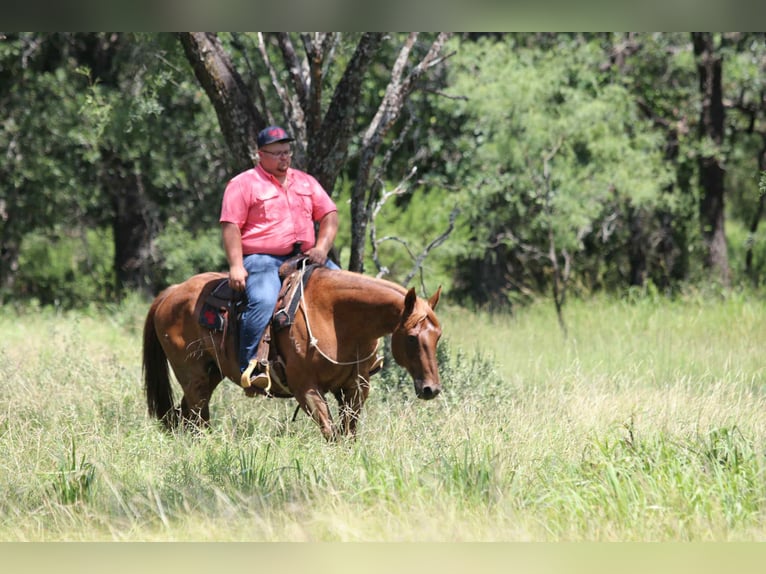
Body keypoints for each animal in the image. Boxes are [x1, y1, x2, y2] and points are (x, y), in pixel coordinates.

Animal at [142, 264, 443, 440]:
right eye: (412, 338)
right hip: (193, 375)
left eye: (438, 336)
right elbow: (331, 433)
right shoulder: (306, 388)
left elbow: (348, 434)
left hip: (211, 373)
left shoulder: (356, 387)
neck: (337, 317)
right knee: (195, 416)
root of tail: (170, 292)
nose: (431, 389)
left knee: (186, 415)